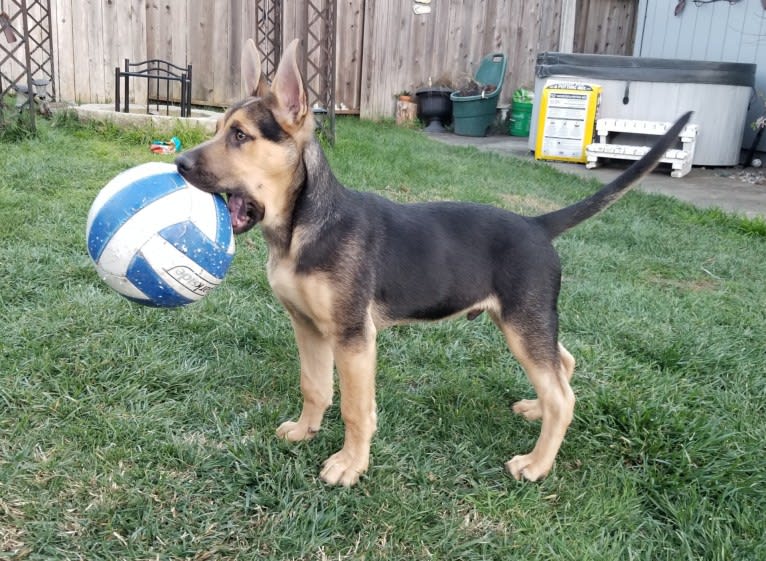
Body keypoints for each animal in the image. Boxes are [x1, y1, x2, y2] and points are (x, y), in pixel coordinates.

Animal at [178, 39, 696, 486]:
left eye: (240, 136)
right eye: (217, 130)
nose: (180, 165)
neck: (302, 228)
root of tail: (537, 224)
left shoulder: (353, 337)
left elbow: (355, 409)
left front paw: (350, 465)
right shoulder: (307, 326)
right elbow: (314, 386)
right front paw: (305, 431)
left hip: (523, 322)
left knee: (563, 396)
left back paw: (536, 463)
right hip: (525, 321)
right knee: (562, 366)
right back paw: (536, 409)